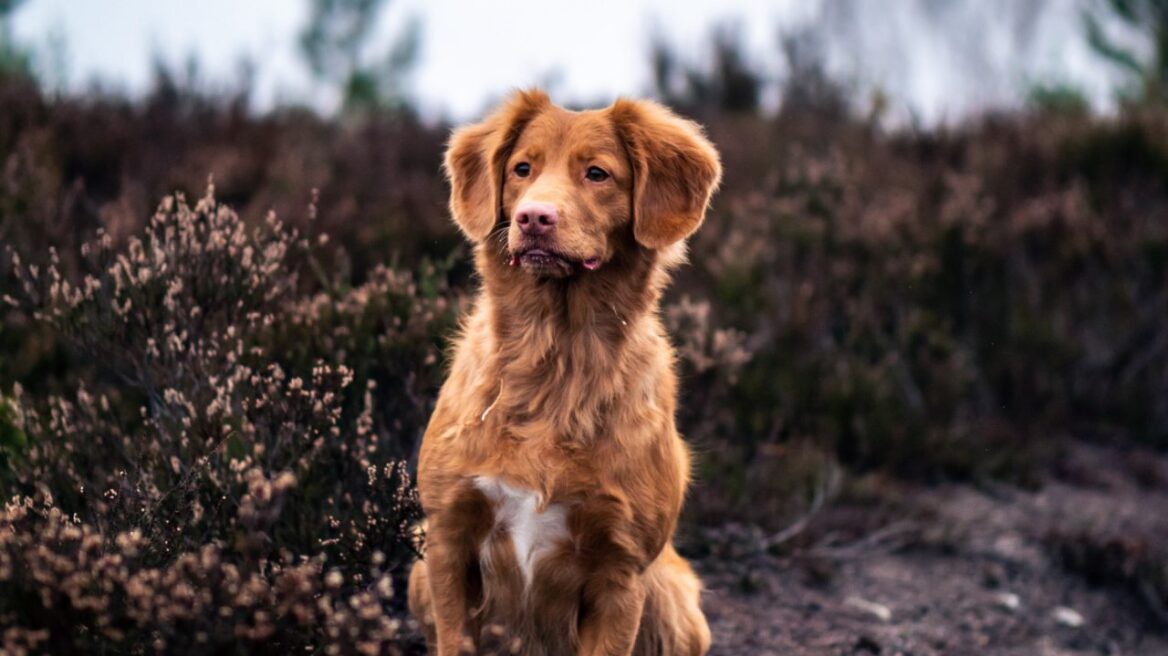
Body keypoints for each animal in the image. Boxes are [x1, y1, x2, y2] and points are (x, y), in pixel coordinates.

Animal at [411, 88, 719, 653]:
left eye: (597, 174)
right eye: (521, 169)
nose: (533, 218)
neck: (556, 359)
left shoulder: (621, 571)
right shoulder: (447, 538)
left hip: (672, 597)